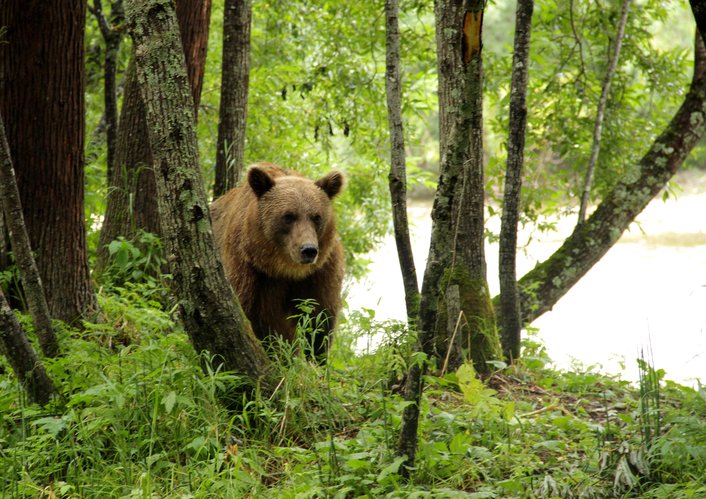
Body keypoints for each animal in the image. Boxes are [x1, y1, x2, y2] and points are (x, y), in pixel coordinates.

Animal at [209, 164, 344, 360]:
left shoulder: (320, 272)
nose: (308, 250)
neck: (285, 269)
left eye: (316, 217)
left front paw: (316, 357)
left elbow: (319, 319)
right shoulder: (250, 272)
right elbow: (261, 322)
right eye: (288, 216)